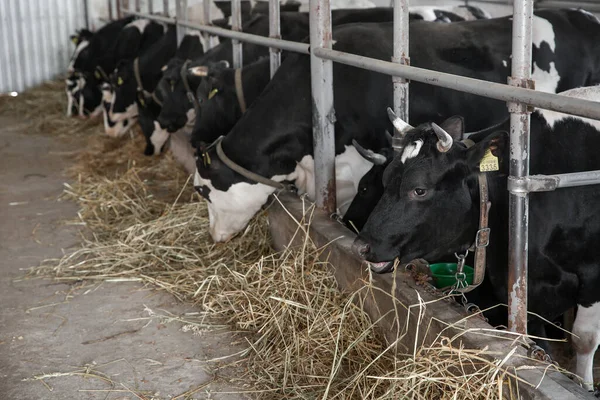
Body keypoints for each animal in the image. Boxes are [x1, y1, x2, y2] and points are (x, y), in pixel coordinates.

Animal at [354, 86, 600, 392]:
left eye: (419, 189)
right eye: (385, 180)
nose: (361, 245)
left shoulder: (593, 276)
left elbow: (584, 339)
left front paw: (585, 386)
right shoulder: (524, 291)